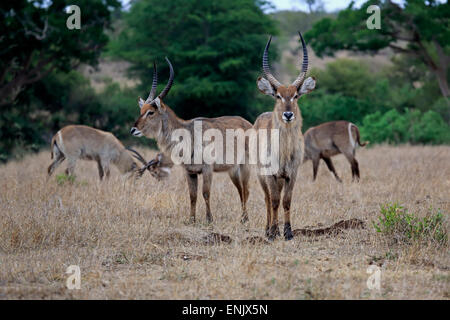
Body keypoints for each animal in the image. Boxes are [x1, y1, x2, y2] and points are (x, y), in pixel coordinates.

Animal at [130, 58, 253, 222]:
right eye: (141, 110)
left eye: (150, 112)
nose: (133, 129)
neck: (188, 133)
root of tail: (247, 123)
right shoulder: (190, 172)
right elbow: (192, 196)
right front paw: (192, 220)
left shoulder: (207, 169)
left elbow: (205, 193)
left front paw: (209, 219)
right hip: (232, 170)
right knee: (240, 190)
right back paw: (243, 218)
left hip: (245, 166)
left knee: (246, 190)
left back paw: (245, 219)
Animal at [255, 32, 314, 241]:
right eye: (278, 95)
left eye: (296, 95)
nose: (288, 115)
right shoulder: (271, 174)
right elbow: (273, 201)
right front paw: (273, 232)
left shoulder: (291, 174)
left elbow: (286, 201)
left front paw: (288, 232)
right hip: (261, 175)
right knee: (267, 199)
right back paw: (268, 229)